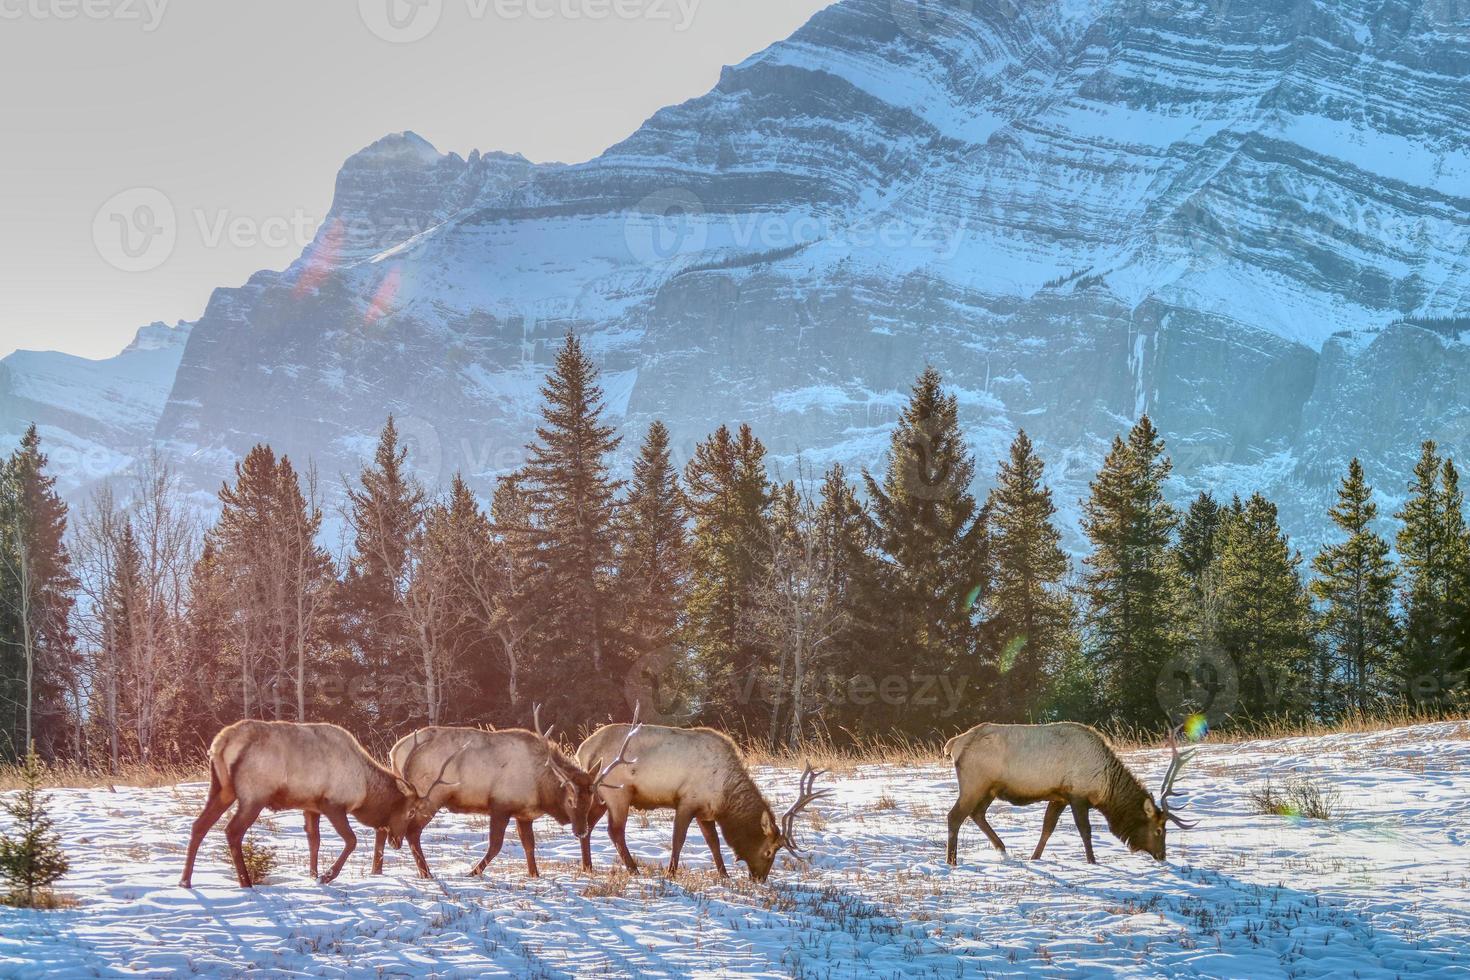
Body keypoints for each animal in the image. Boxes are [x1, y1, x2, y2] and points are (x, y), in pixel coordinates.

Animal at [177, 719, 452, 887]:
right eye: (410, 811)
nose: (397, 841)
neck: (365, 790)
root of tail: (221, 744)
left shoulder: (310, 806)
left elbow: (314, 841)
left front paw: (312, 875)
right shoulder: (332, 804)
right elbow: (351, 840)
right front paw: (326, 876)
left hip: (221, 789)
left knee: (199, 825)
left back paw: (185, 881)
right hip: (253, 794)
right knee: (232, 831)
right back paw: (245, 882)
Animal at [373, 708, 620, 875]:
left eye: (591, 799)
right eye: (570, 800)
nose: (581, 831)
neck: (540, 788)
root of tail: (395, 751)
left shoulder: (524, 814)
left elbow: (529, 845)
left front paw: (534, 874)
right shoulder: (500, 805)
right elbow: (495, 845)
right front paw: (472, 872)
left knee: (386, 826)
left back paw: (380, 869)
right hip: (431, 796)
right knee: (412, 832)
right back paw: (426, 873)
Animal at [573, 708, 829, 887]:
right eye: (768, 852)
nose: (760, 878)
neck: (725, 796)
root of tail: (583, 751)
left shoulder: (706, 812)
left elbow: (714, 842)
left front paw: (724, 874)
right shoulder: (687, 800)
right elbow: (679, 839)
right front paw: (671, 872)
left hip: (600, 796)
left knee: (587, 826)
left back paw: (588, 866)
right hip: (618, 793)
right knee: (615, 830)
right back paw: (633, 869)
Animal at [940, 719, 1193, 863]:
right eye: (1159, 830)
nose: (1162, 856)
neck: (1105, 787)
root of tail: (953, 744)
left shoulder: (1059, 796)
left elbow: (1048, 827)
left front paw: (1035, 857)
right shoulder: (1077, 795)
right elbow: (1085, 830)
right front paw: (1092, 861)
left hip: (990, 788)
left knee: (977, 814)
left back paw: (1002, 848)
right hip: (975, 782)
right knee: (955, 816)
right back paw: (952, 861)